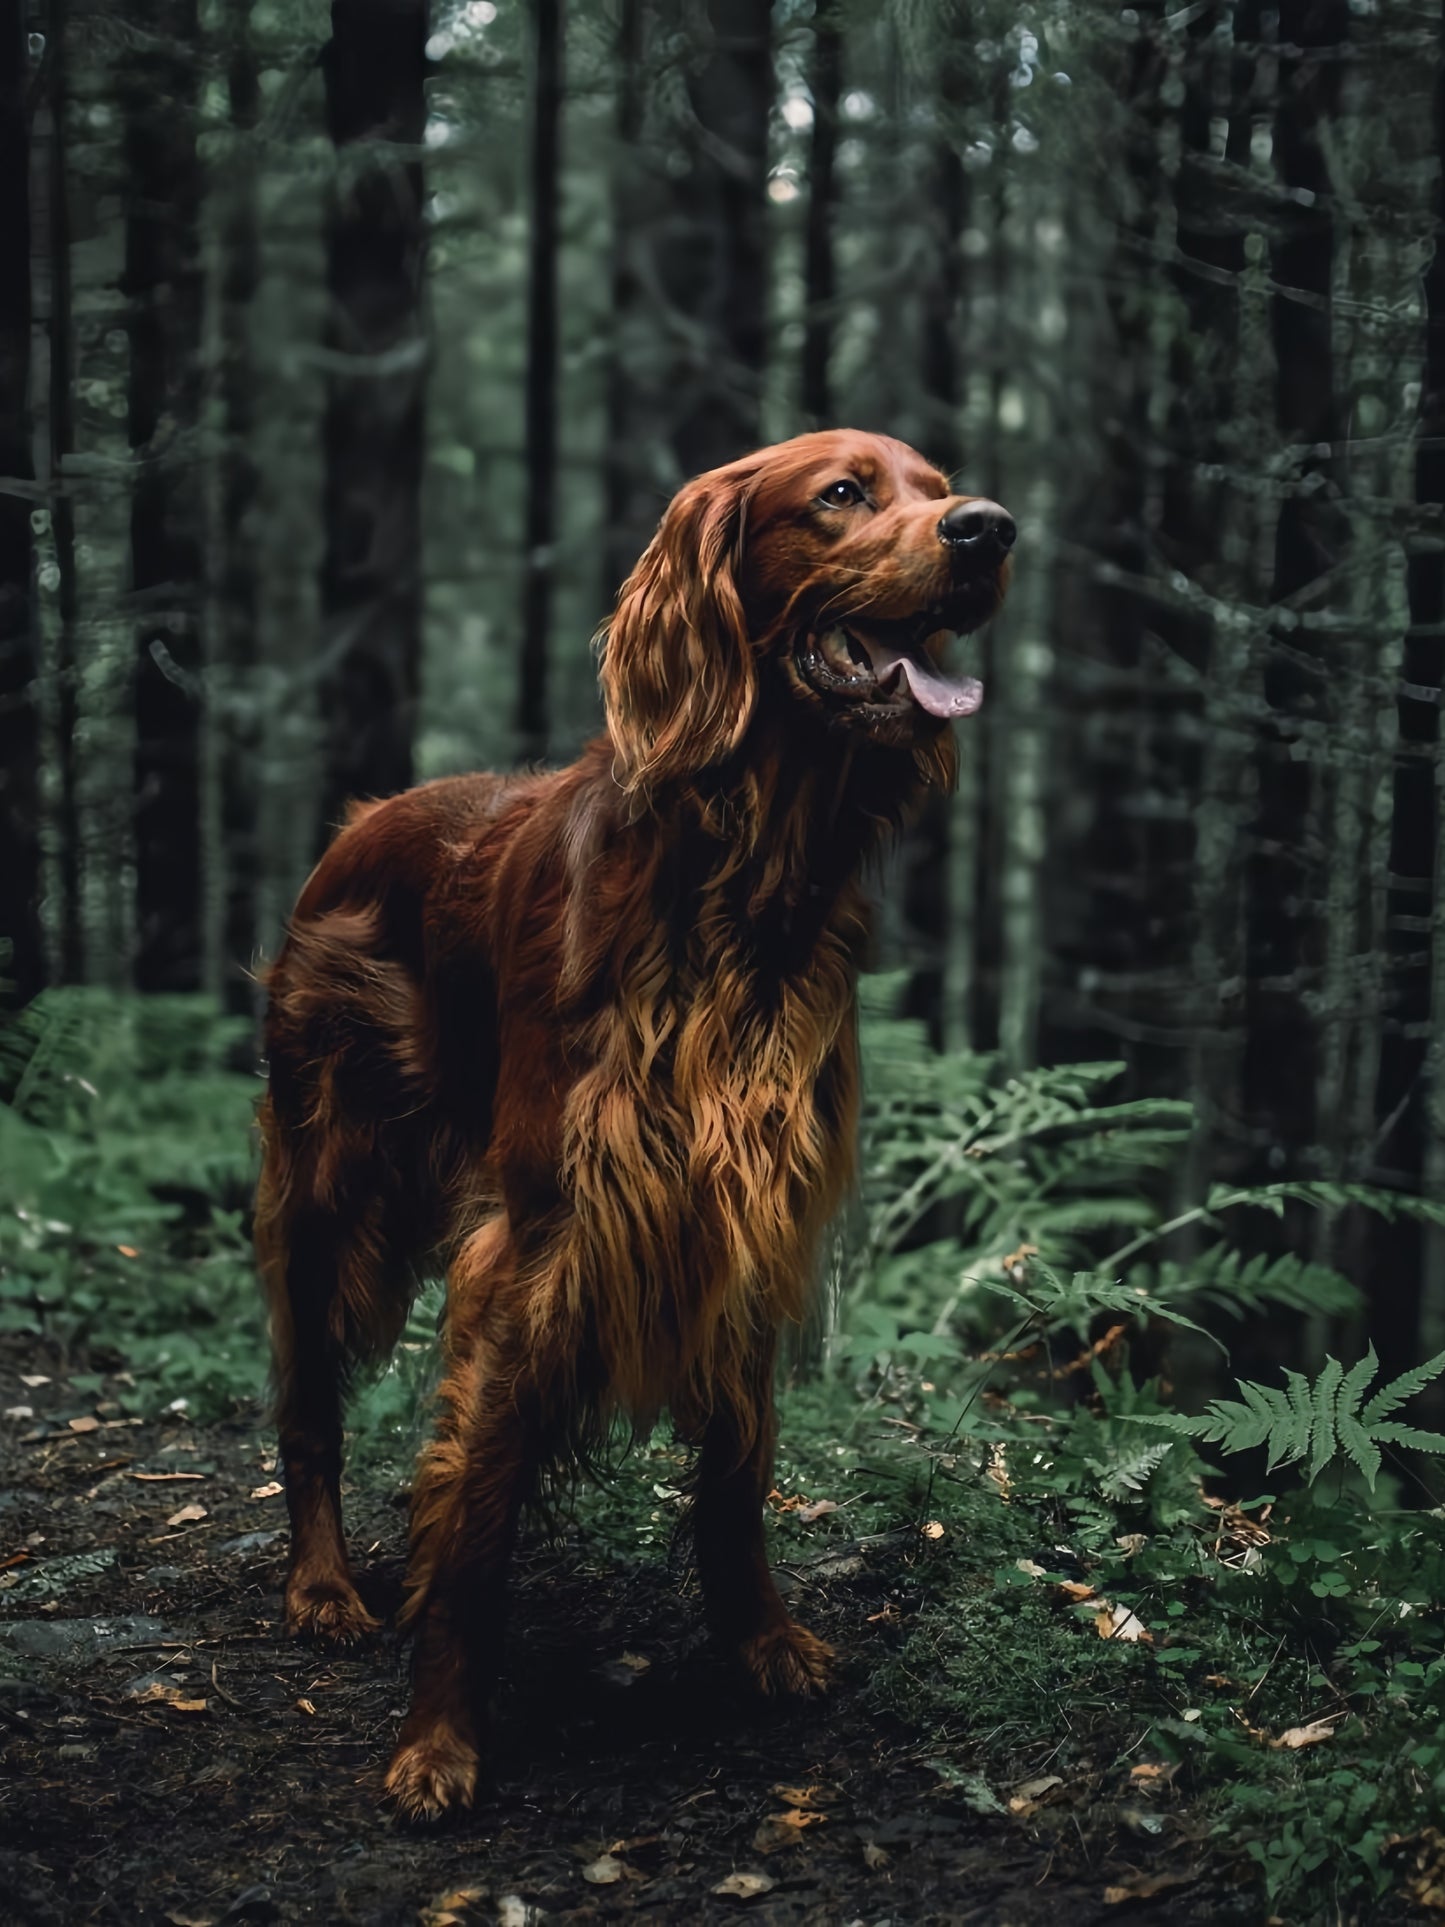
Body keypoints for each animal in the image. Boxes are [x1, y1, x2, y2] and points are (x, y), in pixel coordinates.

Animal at [252, 429, 1017, 1811]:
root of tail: (358, 824)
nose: (989, 530)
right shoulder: (542, 1234)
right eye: (841, 494)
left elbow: (735, 1474)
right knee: (307, 1399)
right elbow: (476, 1510)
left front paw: (758, 1639)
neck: (741, 882)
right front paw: (437, 1737)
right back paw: (324, 1584)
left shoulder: (744, 1216)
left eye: (939, 489)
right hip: (326, 1177)